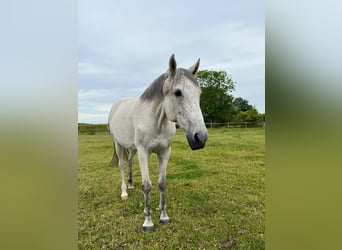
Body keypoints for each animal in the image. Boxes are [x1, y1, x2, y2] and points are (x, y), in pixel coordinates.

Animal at [108, 53, 207, 231]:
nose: (200, 138)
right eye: (177, 92)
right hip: (119, 145)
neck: (156, 121)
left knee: (130, 161)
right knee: (122, 166)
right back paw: (124, 192)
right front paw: (148, 222)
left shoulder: (164, 152)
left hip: (132, 148)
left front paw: (164, 216)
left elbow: (162, 183)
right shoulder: (143, 152)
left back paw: (131, 184)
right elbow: (147, 186)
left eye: (199, 93)